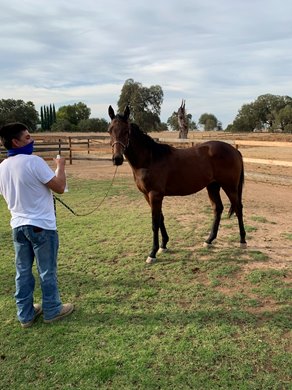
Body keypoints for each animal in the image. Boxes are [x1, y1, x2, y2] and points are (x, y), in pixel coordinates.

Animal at [107, 106, 246, 266]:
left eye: (126, 131)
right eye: (109, 130)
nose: (117, 159)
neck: (150, 159)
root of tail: (235, 150)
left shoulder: (155, 194)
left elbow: (154, 223)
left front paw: (152, 253)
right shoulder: (148, 195)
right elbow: (160, 218)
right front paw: (163, 245)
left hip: (230, 187)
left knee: (238, 208)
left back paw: (242, 241)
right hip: (212, 186)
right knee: (218, 209)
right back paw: (209, 240)